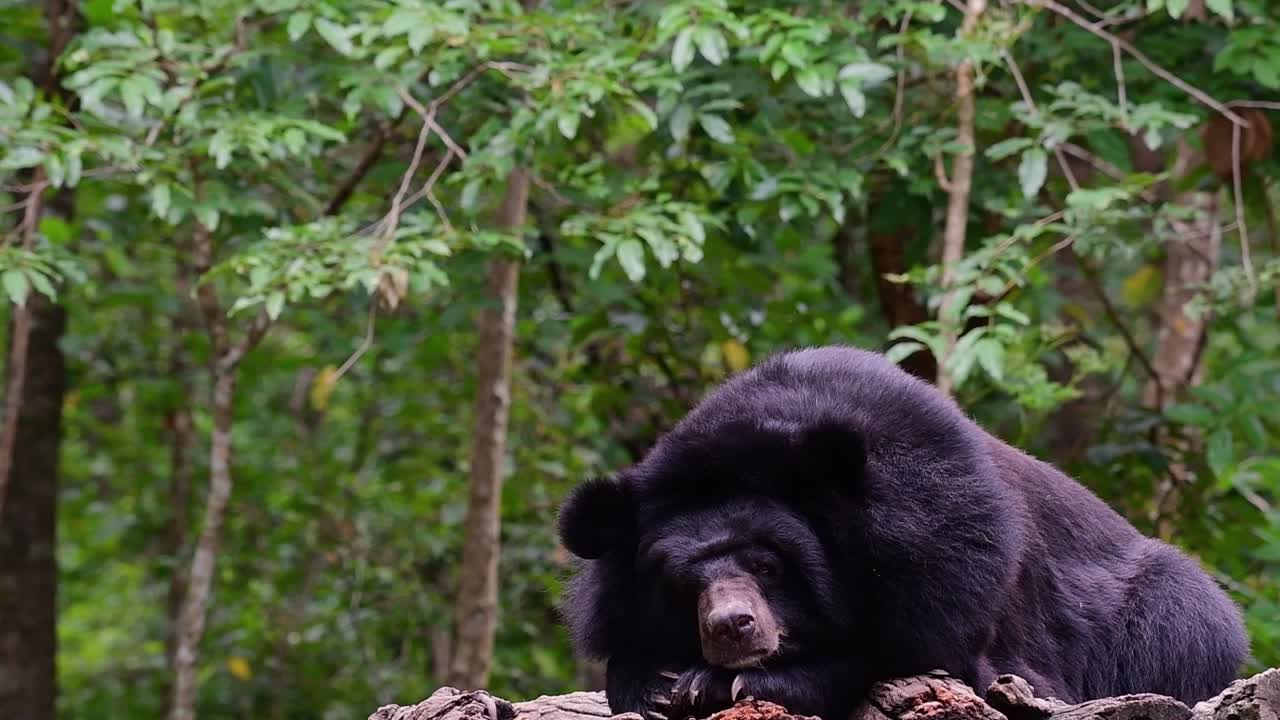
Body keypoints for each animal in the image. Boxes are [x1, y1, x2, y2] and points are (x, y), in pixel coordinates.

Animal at [555, 345, 1248, 720]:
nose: (732, 628)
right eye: (680, 583)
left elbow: (921, 656)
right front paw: (655, 682)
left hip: (1169, 620)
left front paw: (718, 683)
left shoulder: (948, 547)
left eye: (767, 564)